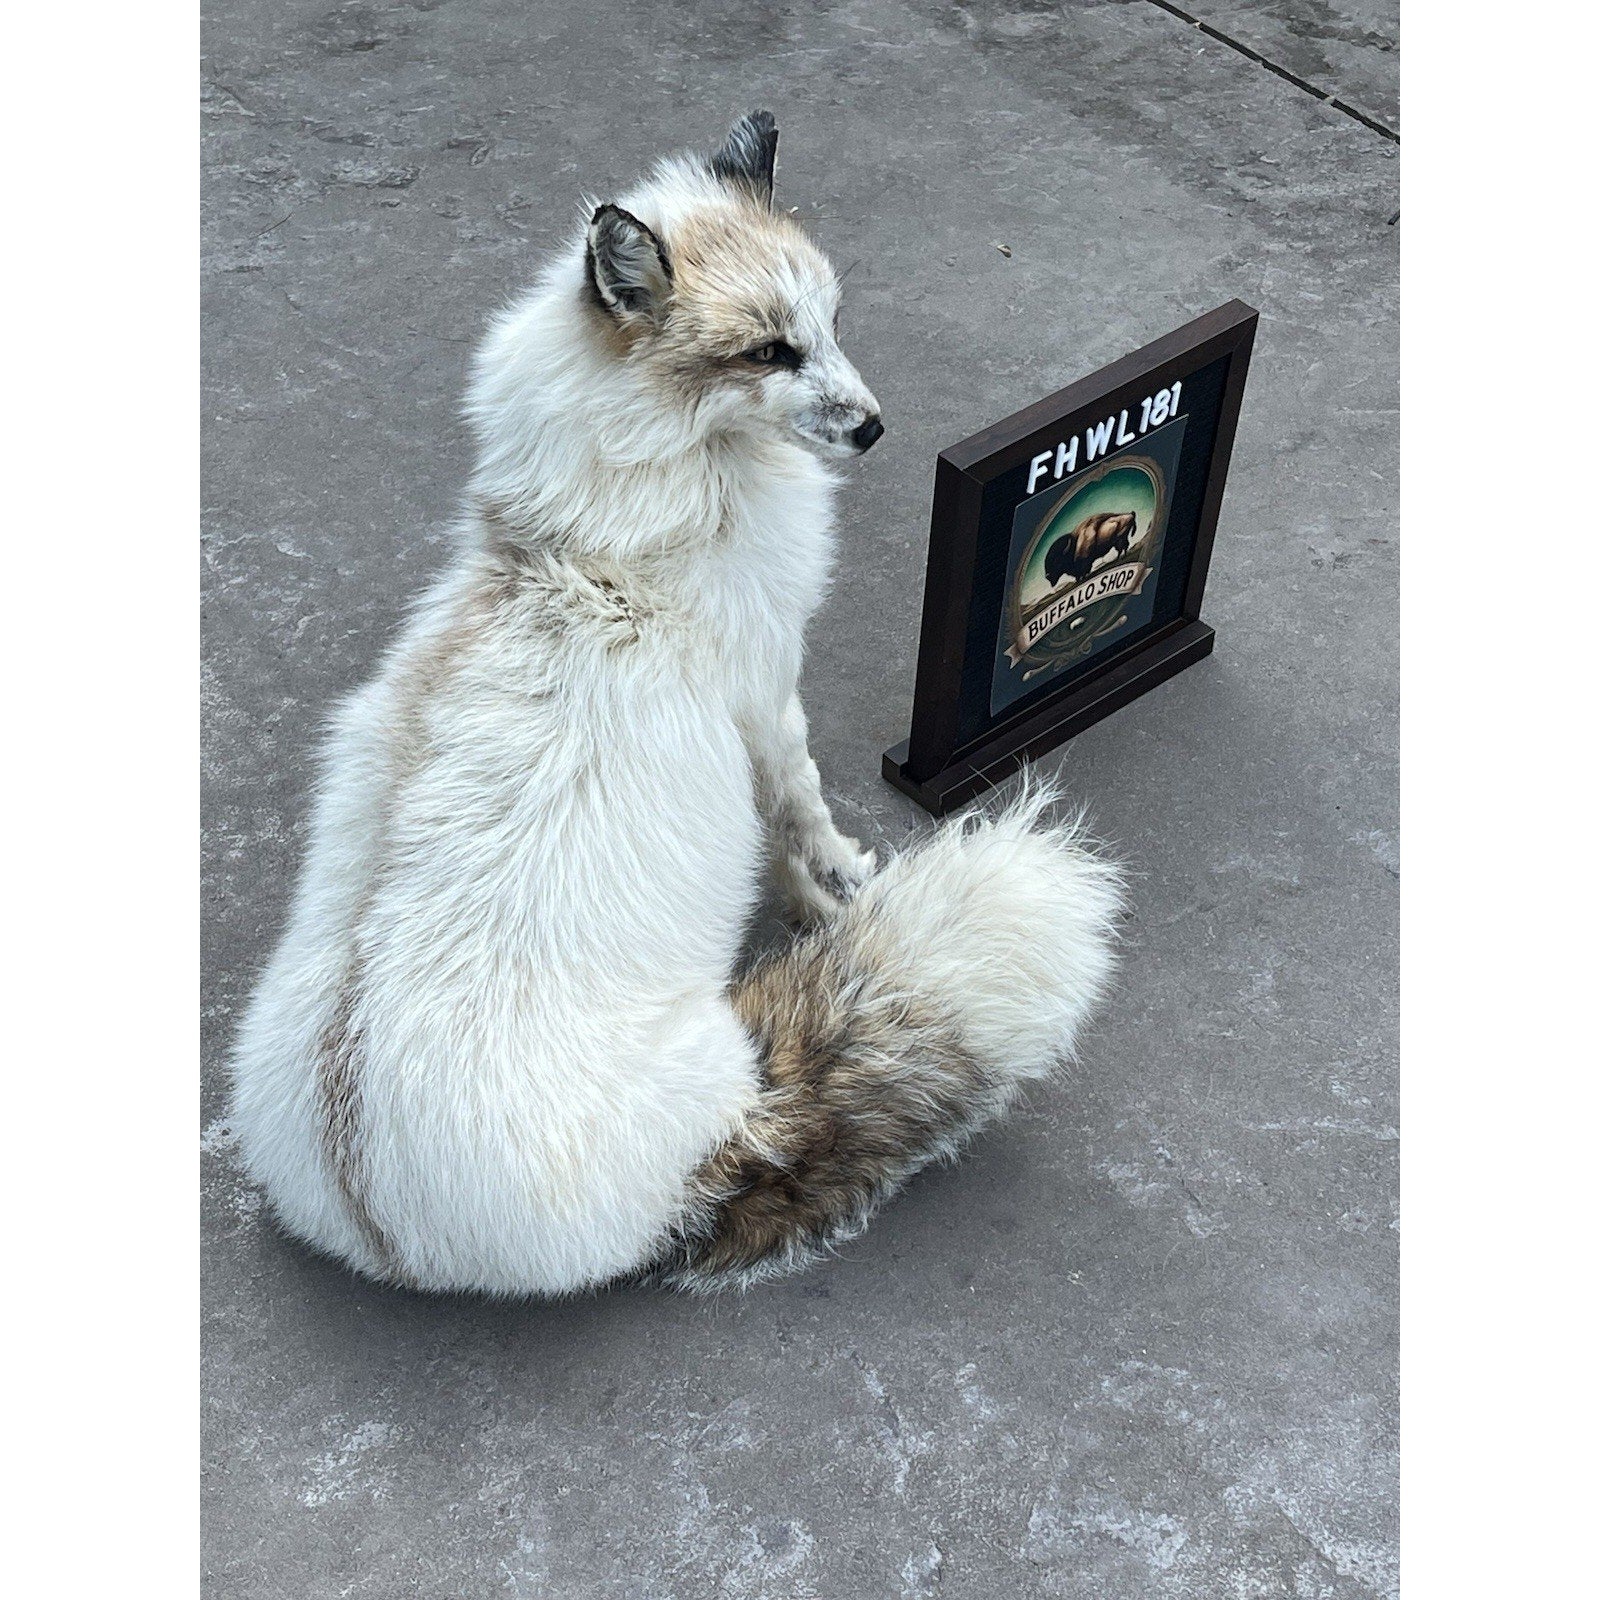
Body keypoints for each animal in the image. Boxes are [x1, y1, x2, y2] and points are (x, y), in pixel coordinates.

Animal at [229, 112, 1124, 1296]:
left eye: (830, 325)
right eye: (768, 353)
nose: (874, 427)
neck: (590, 551)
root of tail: (380, 1210)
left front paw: (813, 901)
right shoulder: (766, 693)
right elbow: (799, 814)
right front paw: (838, 892)